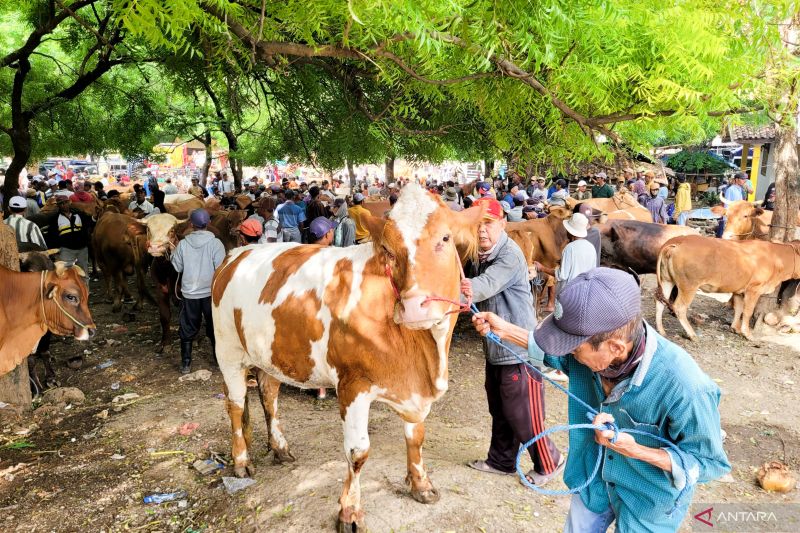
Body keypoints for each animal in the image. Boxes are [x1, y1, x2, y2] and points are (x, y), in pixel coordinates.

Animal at [209, 184, 482, 532]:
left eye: (445, 239)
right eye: (388, 250)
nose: (414, 307)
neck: (424, 356)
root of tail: (236, 254)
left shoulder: (414, 391)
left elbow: (416, 438)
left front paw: (421, 485)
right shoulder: (353, 386)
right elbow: (358, 452)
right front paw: (349, 511)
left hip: (269, 353)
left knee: (269, 396)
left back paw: (280, 448)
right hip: (228, 350)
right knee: (235, 405)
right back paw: (241, 462)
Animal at [656, 235, 800, 338]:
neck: (775, 257)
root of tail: (678, 240)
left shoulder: (739, 291)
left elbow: (739, 309)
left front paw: (735, 328)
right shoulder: (754, 289)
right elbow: (747, 311)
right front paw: (747, 334)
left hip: (666, 280)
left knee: (660, 302)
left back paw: (661, 330)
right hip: (689, 285)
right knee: (679, 307)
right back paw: (692, 334)